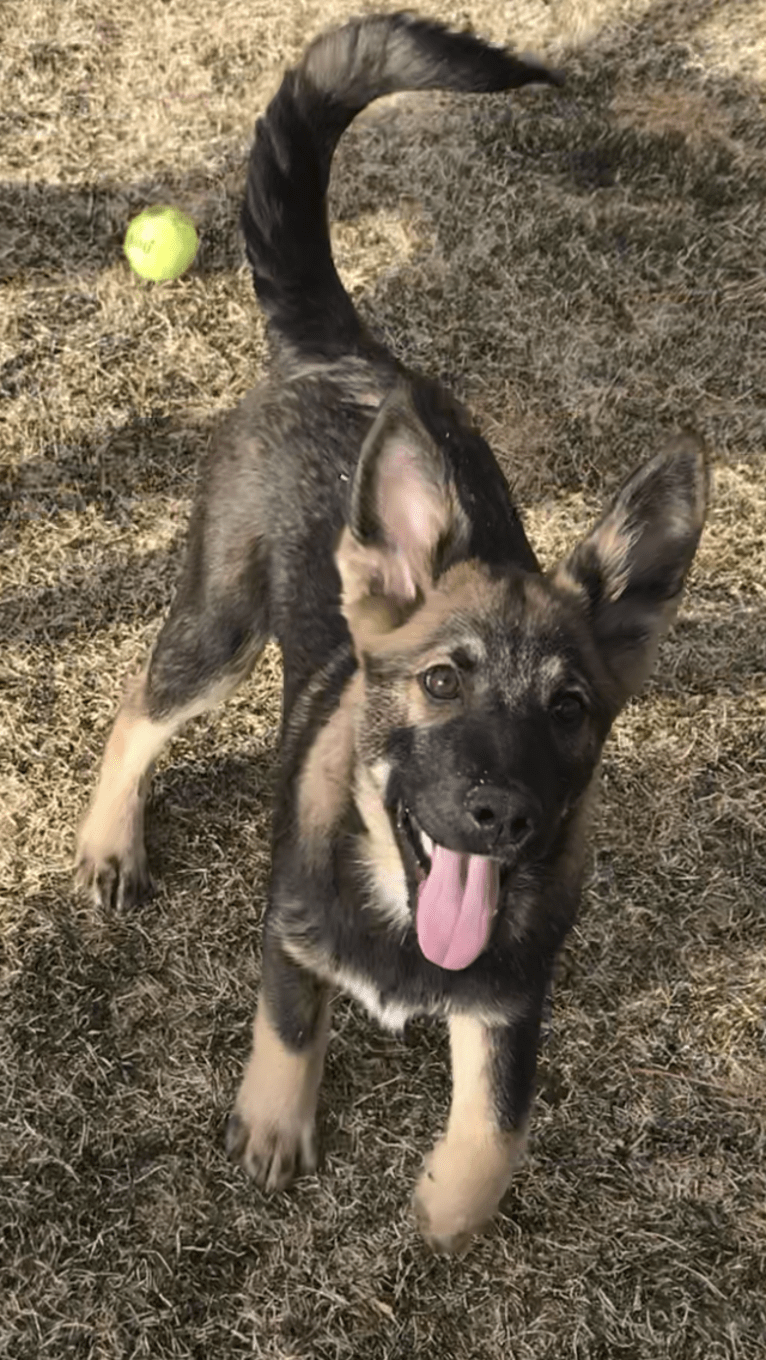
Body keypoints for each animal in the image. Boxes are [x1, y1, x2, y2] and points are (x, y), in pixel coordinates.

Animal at [76, 15, 707, 1251]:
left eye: (570, 708)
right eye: (440, 682)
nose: (499, 815)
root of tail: (340, 352)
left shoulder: (512, 1000)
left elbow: (497, 1127)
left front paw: (445, 1208)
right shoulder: (287, 926)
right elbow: (288, 1021)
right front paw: (275, 1123)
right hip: (219, 621)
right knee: (139, 708)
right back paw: (109, 840)